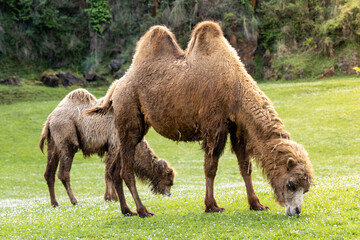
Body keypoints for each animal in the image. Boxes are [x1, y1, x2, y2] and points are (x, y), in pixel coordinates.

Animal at [39, 89, 176, 213]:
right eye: (170, 181)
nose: (168, 194)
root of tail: (49, 119)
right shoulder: (114, 144)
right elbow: (110, 172)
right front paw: (112, 197)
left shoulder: (109, 147)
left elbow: (107, 172)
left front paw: (109, 197)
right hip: (66, 135)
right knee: (64, 172)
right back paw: (74, 201)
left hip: (53, 143)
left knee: (49, 172)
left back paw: (55, 203)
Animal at [86, 21, 314, 218]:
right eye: (291, 184)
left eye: (306, 189)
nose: (296, 211)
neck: (234, 88)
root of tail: (117, 85)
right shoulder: (214, 125)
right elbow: (210, 168)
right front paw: (212, 206)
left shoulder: (236, 127)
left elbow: (245, 167)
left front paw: (256, 204)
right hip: (129, 111)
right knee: (126, 168)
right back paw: (143, 210)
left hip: (132, 126)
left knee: (116, 168)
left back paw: (127, 210)